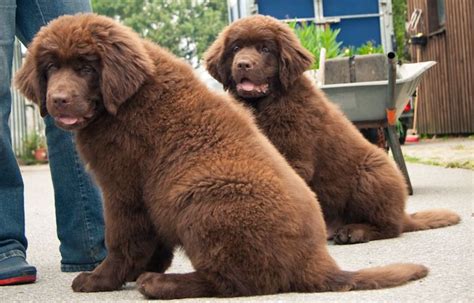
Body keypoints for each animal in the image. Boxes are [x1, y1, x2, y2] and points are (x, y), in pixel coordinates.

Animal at [15, 13, 430, 300]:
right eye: (50, 67)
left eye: (86, 67)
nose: (58, 100)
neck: (124, 102)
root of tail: (316, 263)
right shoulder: (146, 193)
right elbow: (149, 241)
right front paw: (133, 270)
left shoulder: (123, 189)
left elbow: (121, 240)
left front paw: (101, 279)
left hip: (199, 198)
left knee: (236, 282)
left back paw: (160, 283)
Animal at [204, 15, 460, 246]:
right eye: (236, 48)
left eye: (265, 49)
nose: (243, 64)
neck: (265, 105)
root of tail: (404, 215)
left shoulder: (296, 158)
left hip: (372, 172)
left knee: (390, 227)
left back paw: (354, 232)